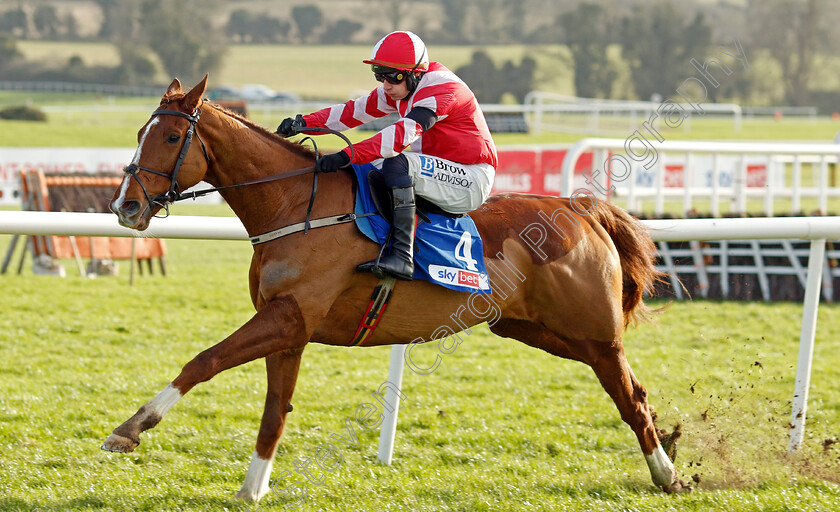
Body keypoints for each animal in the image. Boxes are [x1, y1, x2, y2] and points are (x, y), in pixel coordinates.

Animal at [103, 78, 688, 502]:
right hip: (536, 330)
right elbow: (274, 411)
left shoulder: (288, 318)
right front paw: (253, 488)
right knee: (634, 391)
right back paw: (669, 452)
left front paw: (131, 428)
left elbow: (204, 360)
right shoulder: (289, 329)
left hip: (594, 334)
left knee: (630, 397)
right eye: (139, 132)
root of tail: (579, 208)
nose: (125, 206)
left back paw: (668, 475)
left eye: (172, 138)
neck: (295, 205)